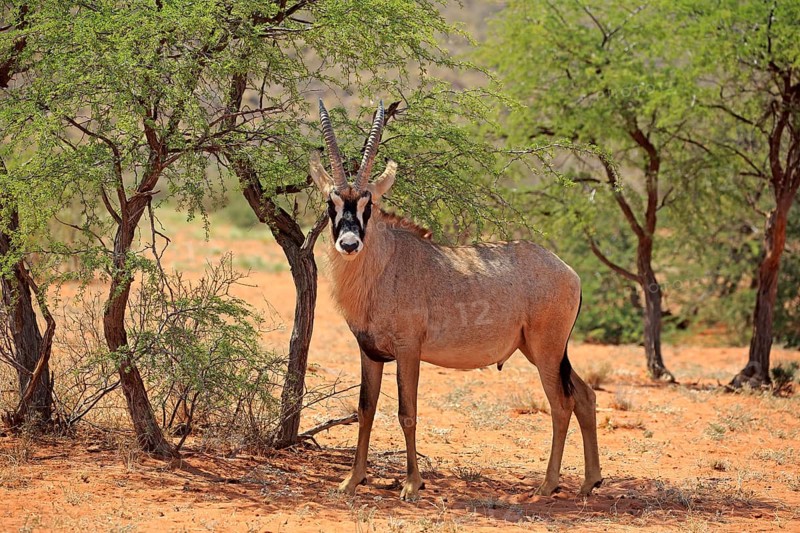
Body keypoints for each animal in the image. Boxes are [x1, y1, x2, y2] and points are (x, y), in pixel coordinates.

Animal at [311, 100, 602, 501]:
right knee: (585, 396)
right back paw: (590, 482)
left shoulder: (408, 350)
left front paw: (412, 484)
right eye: (332, 203)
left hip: (546, 350)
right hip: (542, 349)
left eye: (369, 204)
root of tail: (569, 272)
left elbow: (407, 413)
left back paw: (547, 485)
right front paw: (351, 480)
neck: (385, 263)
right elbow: (365, 410)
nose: (350, 244)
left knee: (561, 404)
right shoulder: (370, 352)